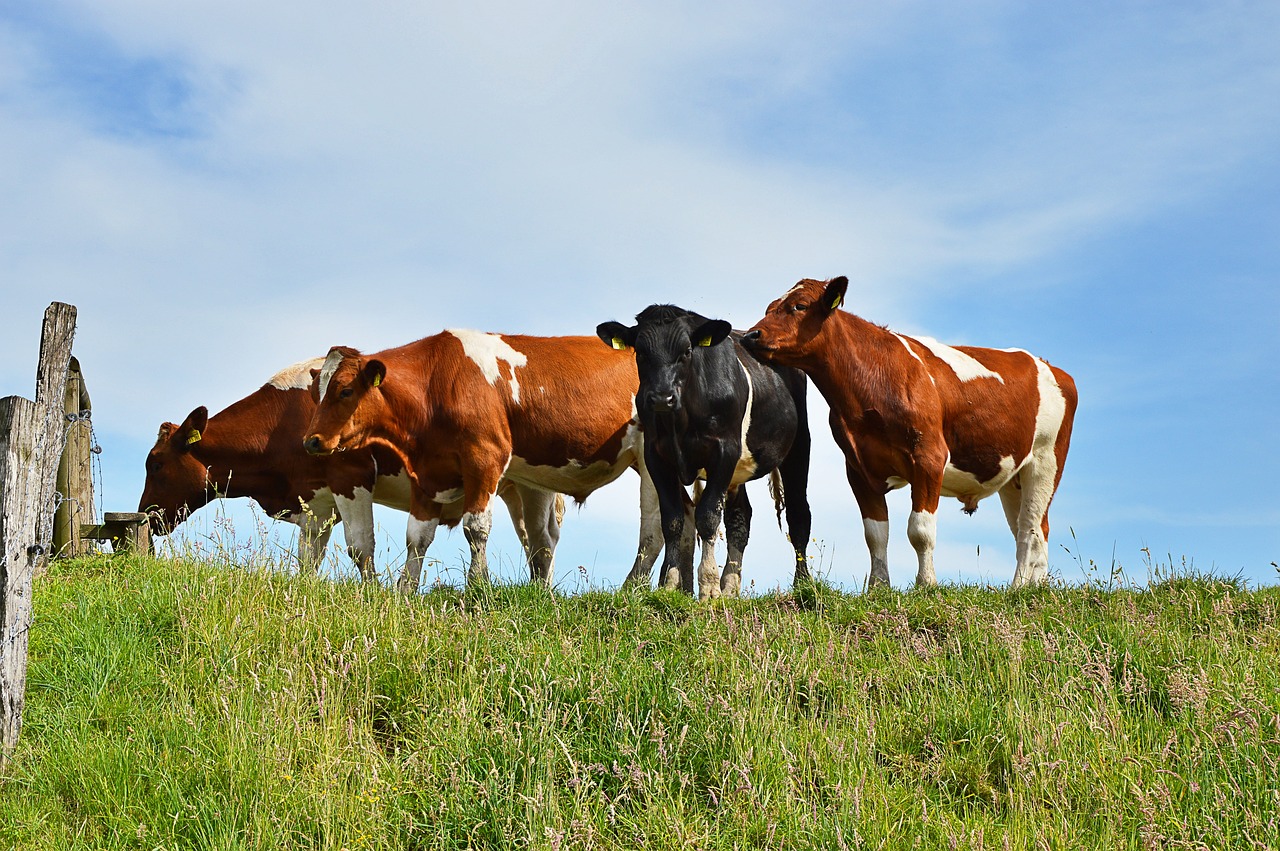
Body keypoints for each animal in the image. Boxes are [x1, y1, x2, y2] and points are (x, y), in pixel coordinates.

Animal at [140, 355, 560, 588]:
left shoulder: (350, 476)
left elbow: (359, 547)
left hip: (530, 484)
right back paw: (541, 592)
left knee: (541, 539)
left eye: (156, 463)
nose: (147, 515)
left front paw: (373, 593)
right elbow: (309, 555)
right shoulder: (315, 499)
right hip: (520, 486)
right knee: (536, 539)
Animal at [298, 327, 660, 588]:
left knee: (655, 530)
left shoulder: (485, 458)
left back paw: (634, 588)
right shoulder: (428, 473)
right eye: (315, 393)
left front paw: (477, 583)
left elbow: (475, 528)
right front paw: (405, 590)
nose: (311, 441)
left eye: (345, 391)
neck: (436, 385)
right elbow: (417, 537)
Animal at [596, 305, 814, 596]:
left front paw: (709, 586)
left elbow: (708, 516)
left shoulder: (724, 451)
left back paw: (803, 584)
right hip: (737, 472)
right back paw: (730, 586)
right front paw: (671, 584)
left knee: (798, 513)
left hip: (799, 445)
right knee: (740, 518)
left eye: (687, 351)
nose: (662, 398)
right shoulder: (656, 456)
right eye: (640, 352)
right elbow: (672, 520)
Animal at [747, 275, 1075, 588]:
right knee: (1036, 528)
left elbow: (920, 530)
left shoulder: (929, 457)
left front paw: (926, 583)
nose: (751, 335)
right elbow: (875, 533)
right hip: (1012, 474)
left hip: (1045, 462)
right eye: (768, 308)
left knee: (1029, 529)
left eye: (799, 306)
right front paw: (878, 587)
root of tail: (1050, 366)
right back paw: (1035, 586)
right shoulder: (858, 468)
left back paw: (1018, 587)